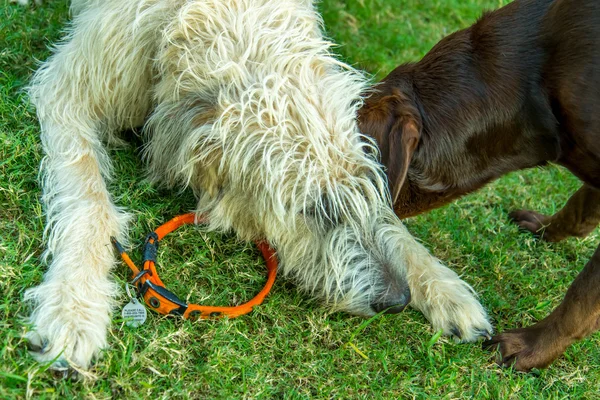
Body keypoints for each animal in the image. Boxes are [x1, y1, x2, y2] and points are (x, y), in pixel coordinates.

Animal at [24, 0, 492, 372]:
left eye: (371, 191)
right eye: (312, 209)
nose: (396, 300)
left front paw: (441, 285)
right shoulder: (71, 88)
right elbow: (88, 199)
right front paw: (74, 305)